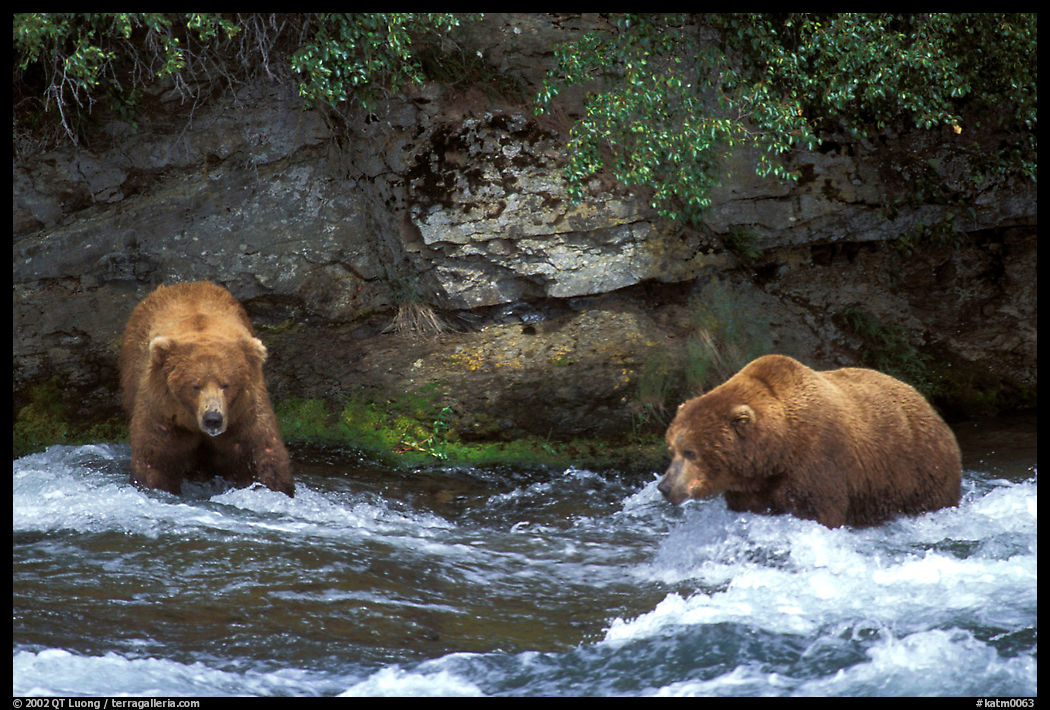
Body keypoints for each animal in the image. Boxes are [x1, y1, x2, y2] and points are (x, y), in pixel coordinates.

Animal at [119, 281, 294, 497]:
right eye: (195, 385)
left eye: (226, 384)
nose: (213, 418)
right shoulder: (163, 412)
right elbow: (156, 458)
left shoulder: (243, 413)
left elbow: (262, 450)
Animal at [658, 354, 961, 528]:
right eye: (671, 449)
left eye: (691, 451)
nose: (664, 486)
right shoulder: (751, 487)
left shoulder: (818, 461)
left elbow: (821, 511)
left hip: (918, 466)